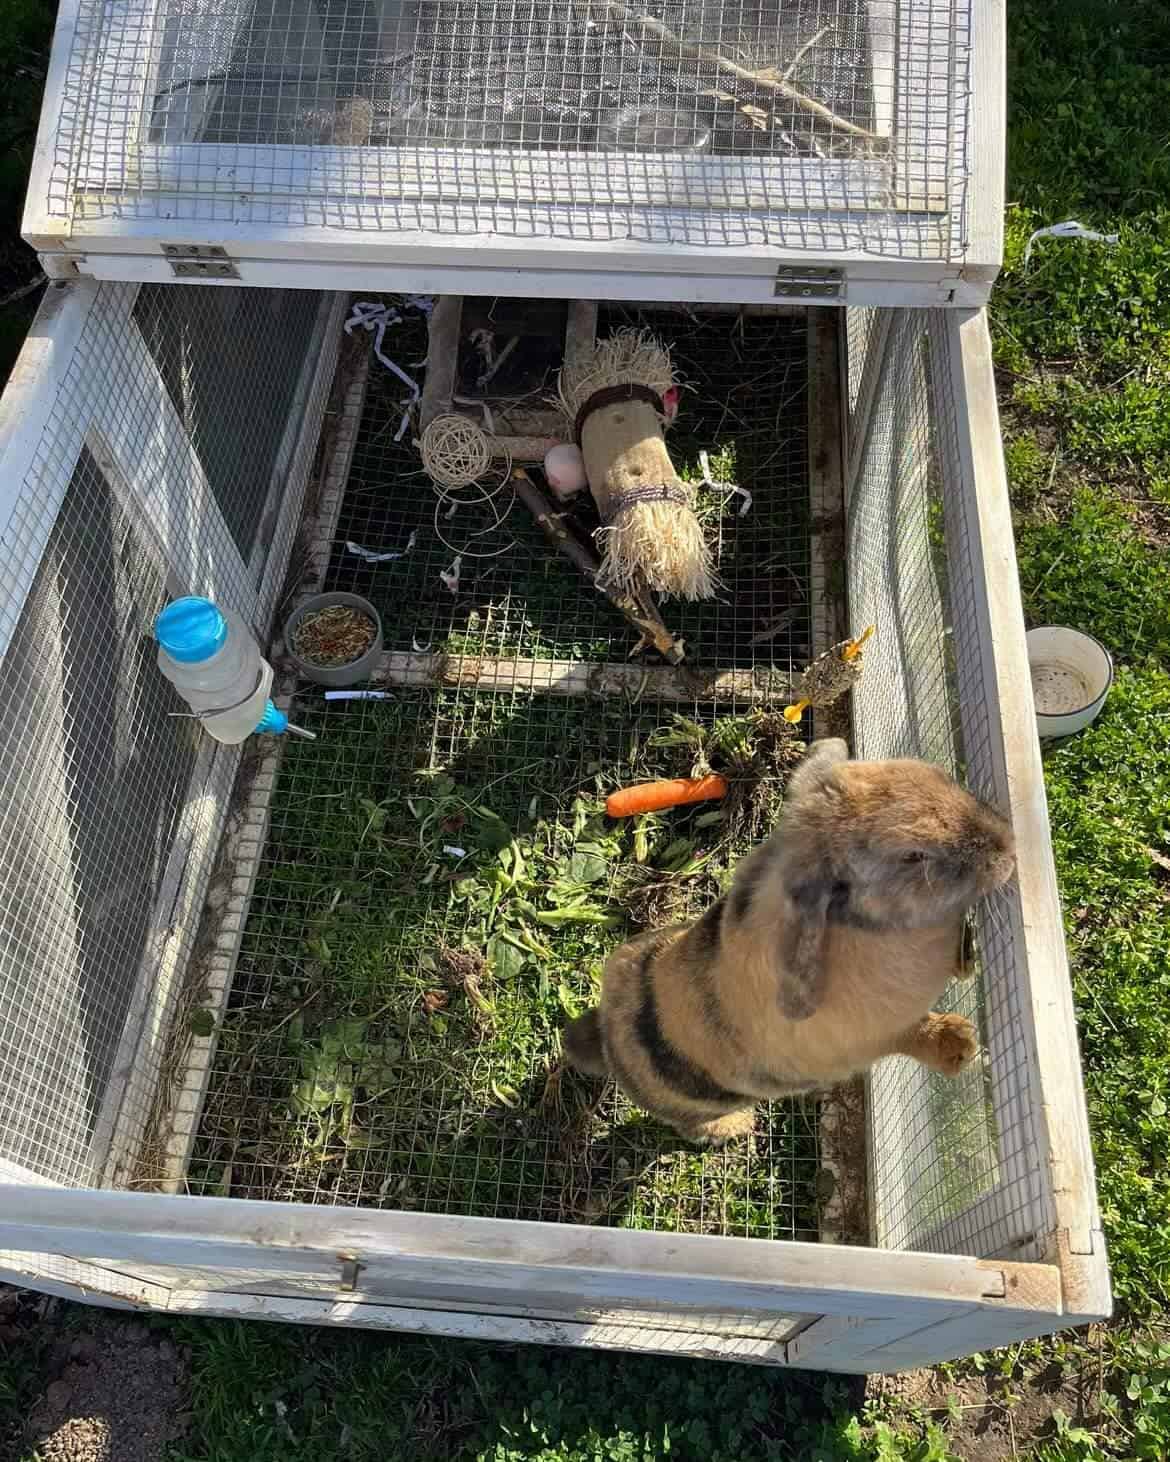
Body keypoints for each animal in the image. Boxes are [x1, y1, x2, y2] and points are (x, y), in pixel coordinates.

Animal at [562, 738, 1016, 1145]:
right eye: (912, 856)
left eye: (940, 776)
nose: (1008, 848)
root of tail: (603, 1035)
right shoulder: (872, 1038)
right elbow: (912, 1035)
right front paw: (960, 1045)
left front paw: (966, 960)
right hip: (692, 1107)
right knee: (693, 1125)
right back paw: (735, 1127)